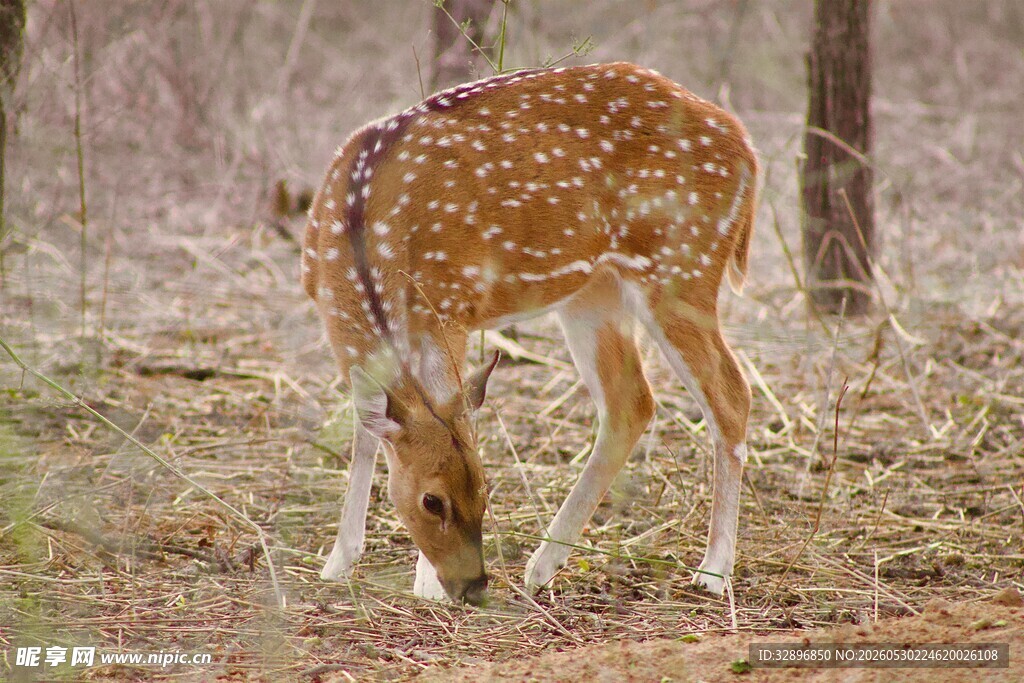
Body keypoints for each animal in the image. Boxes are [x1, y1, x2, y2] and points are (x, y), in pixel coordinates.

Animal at [302, 62, 757, 606]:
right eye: (432, 501)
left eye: (483, 487)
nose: (474, 585)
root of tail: (746, 148)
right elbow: (367, 432)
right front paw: (337, 561)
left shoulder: (450, 306)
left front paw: (424, 584)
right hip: (594, 292)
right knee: (632, 402)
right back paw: (543, 565)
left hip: (682, 266)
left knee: (730, 394)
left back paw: (713, 570)